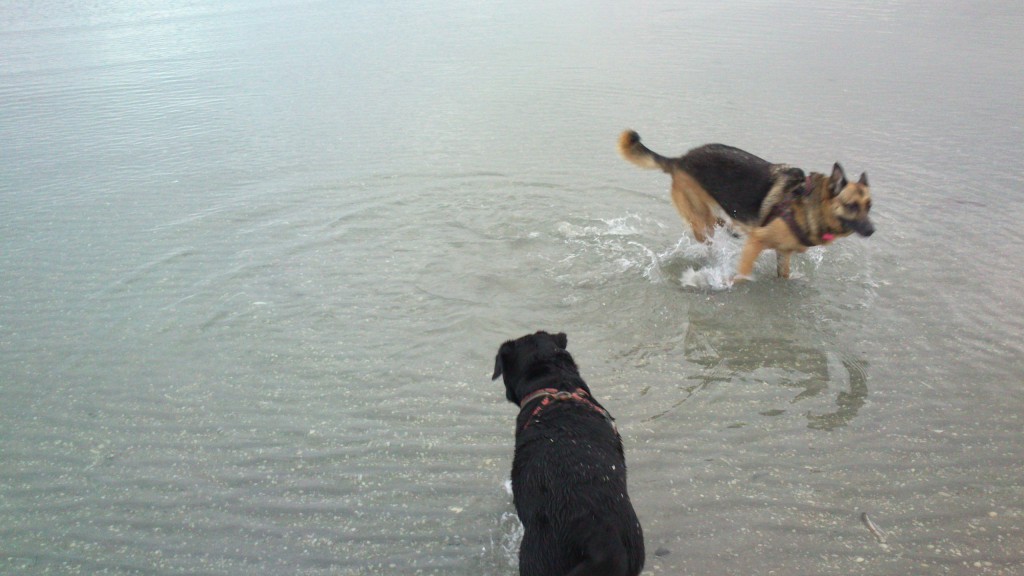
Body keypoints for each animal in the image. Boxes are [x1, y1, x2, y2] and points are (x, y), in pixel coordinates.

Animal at [614, 130, 872, 282]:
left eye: (869, 206)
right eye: (851, 205)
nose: (872, 230)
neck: (809, 204)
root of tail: (680, 160)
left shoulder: (783, 254)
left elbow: (783, 275)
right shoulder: (757, 242)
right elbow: (743, 274)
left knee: (717, 222)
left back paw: (730, 227)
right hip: (698, 216)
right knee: (708, 230)